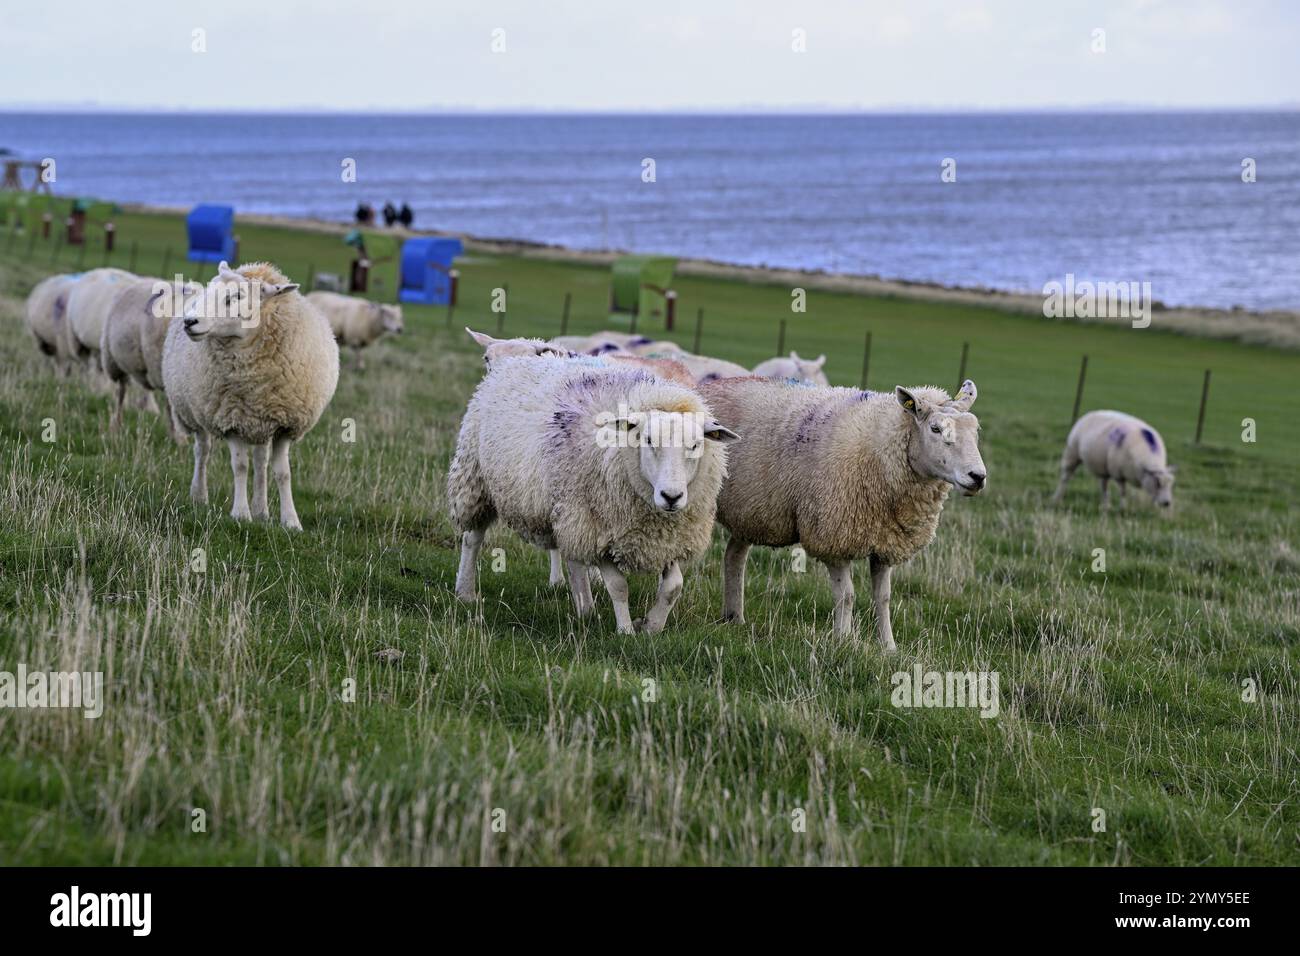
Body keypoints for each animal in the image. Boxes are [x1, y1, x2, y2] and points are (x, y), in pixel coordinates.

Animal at [99, 277, 200, 437]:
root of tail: (139, 282)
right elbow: (170, 408)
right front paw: (177, 437)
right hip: (113, 362)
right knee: (120, 392)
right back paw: (116, 425)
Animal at [163, 261, 340, 530]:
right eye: (211, 291)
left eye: (236, 296)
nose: (190, 321)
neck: (254, 381)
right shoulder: (230, 419)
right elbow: (240, 466)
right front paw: (240, 514)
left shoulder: (285, 423)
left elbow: (282, 472)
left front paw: (291, 521)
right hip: (198, 411)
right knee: (203, 452)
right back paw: (199, 496)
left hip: (261, 422)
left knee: (260, 461)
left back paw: (261, 511)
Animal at [447, 356, 738, 632]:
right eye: (647, 440)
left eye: (696, 444)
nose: (672, 496)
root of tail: (521, 355)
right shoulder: (596, 530)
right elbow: (618, 585)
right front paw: (625, 630)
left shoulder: (671, 539)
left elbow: (673, 587)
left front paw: (651, 626)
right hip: (477, 482)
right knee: (472, 538)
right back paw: (466, 591)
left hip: (568, 512)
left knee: (573, 559)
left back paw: (584, 608)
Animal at [702, 374, 982, 650]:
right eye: (935, 429)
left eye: (975, 430)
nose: (978, 476)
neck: (880, 448)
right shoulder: (832, 537)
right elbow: (846, 596)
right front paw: (844, 641)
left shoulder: (886, 540)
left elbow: (883, 597)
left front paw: (888, 647)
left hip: (748, 512)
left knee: (734, 556)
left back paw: (734, 617)